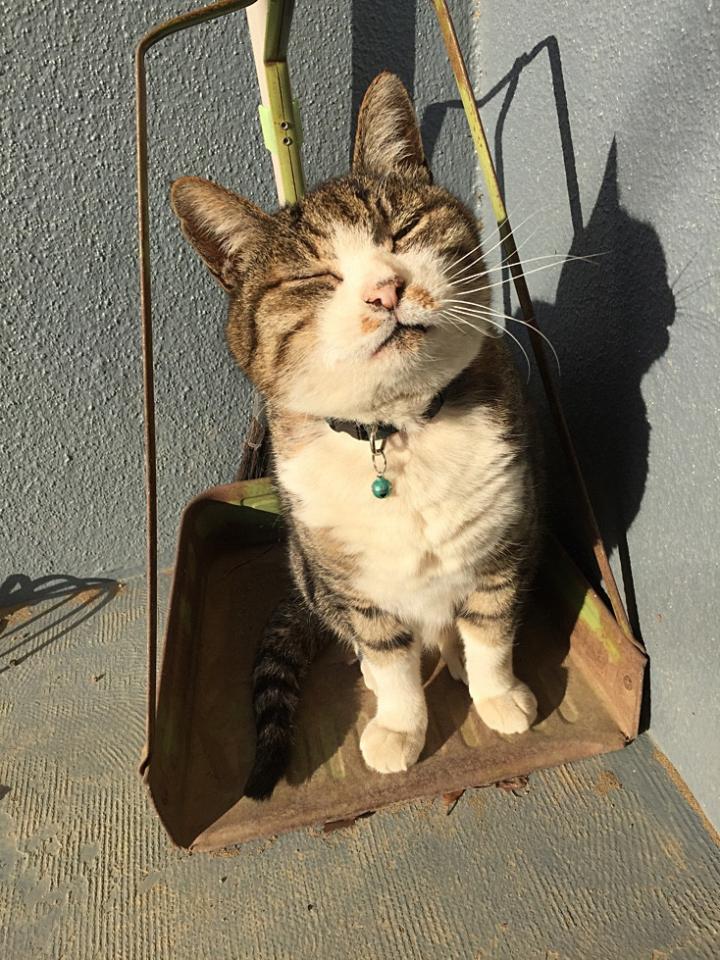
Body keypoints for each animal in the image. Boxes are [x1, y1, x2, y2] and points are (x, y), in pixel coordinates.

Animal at [170, 72, 540, 800]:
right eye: (315, 277)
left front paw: (497, 693)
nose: (386, 289)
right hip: (309, 572)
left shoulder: (503, 545)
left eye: (404, 229)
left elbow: (491, 628)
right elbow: (391, 661)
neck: (398, 430)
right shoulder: (352, 580)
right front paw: (401, 725)